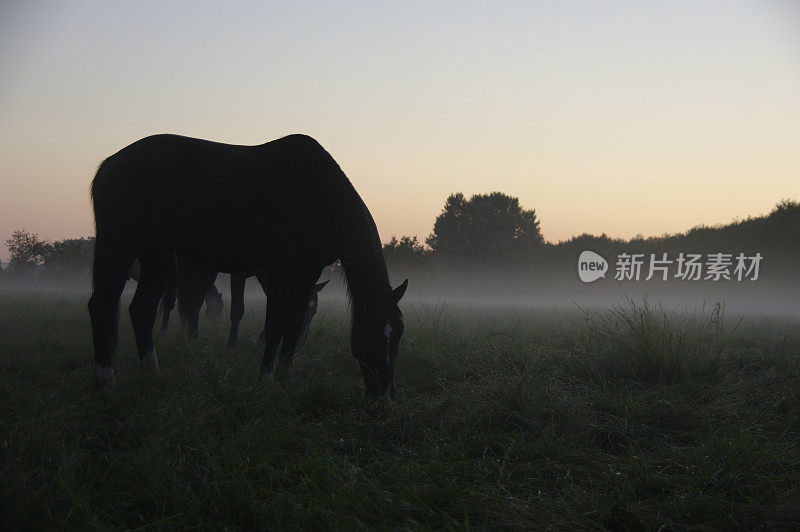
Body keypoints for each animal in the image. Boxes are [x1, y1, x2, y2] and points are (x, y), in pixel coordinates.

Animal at [89, 135, 406, 396]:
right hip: (122, 247)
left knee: (141, 310)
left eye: (399, 333)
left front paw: (285, 376)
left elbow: (292, 324)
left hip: (156, 254)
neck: (314, 192)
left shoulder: (307, 271)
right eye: (373, 332)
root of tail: (108, 166)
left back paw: (152, 373)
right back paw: (106, 379)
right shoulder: (282, 268)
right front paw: (265, 376)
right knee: (102, 304)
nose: (385, 394)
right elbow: (275, 322)